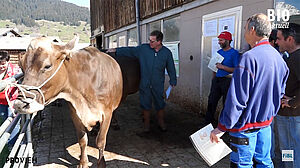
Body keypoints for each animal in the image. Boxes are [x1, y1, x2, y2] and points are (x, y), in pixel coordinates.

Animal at [12, 35, 123, 167]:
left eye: (47, 66)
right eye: (22, 66)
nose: (19, 104)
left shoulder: (106, 113)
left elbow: (100, 141)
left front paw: (101, 164)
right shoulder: (74, 113)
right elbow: (82, 140)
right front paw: (83, 163)